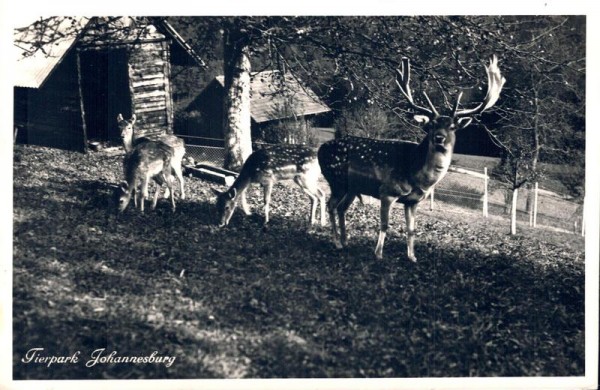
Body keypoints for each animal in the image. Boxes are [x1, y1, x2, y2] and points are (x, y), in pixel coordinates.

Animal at [318, 54, 506, 260]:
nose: (439, 137)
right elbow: (384, 224)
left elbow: (411, 229)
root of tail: (320, 149)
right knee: (331, 205)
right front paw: (378, 254)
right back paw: (337, 242)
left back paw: (345, 241)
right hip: (336, 180)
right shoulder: (387, 191)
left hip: (351, 187)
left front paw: (412, 257)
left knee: (342, 208)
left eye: (452, 127)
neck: (418, 176)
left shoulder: (413, 201)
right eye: (431, 124)